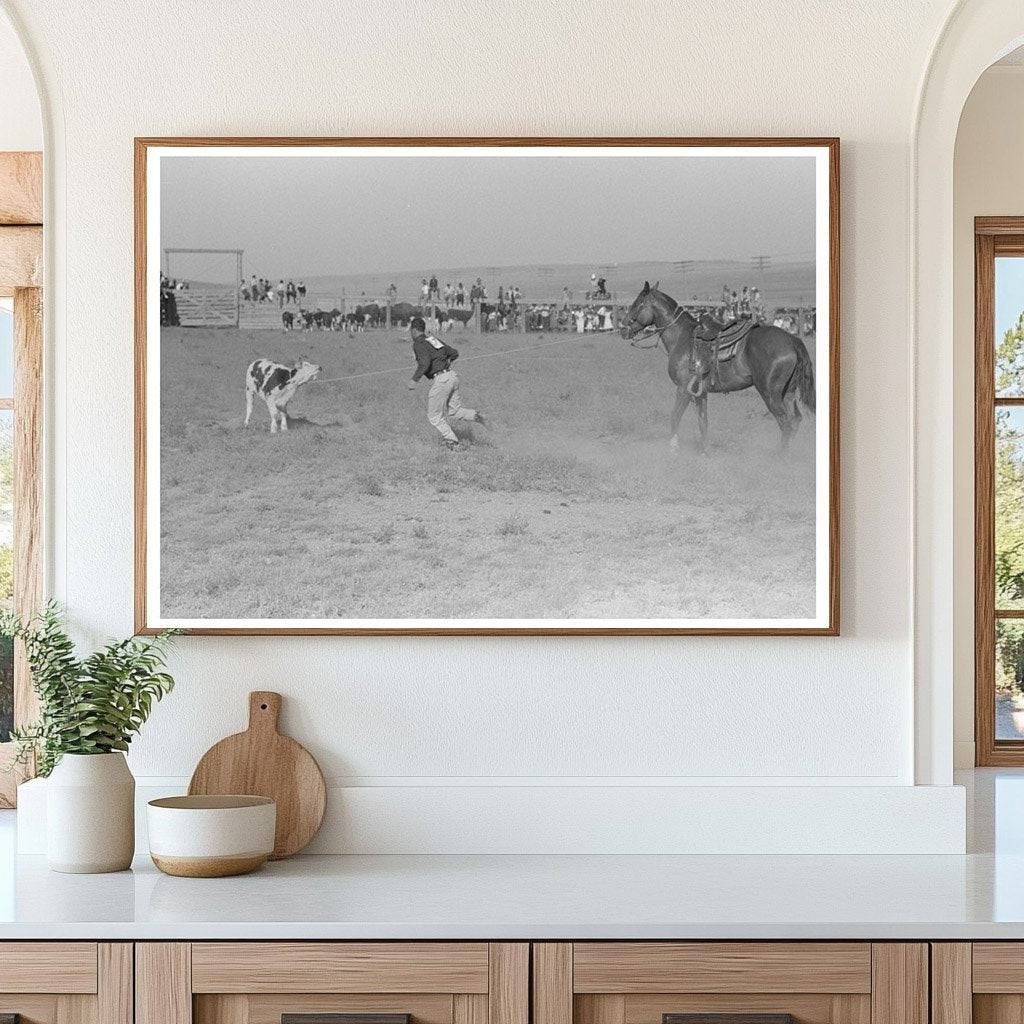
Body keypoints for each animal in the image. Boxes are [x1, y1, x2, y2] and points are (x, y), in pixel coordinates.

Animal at [614, 284, 815, 452]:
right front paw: (704, 451)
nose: (622, 328)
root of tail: (792, 340)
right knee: (795, 420)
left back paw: (780, 456)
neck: (681, 337)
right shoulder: (699, 392)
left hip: (770, 393)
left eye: (638, 304)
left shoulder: (683, 389)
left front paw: (673, 447)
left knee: (785, 422)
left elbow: (675, 416)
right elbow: (703, 421)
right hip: (788, 392)